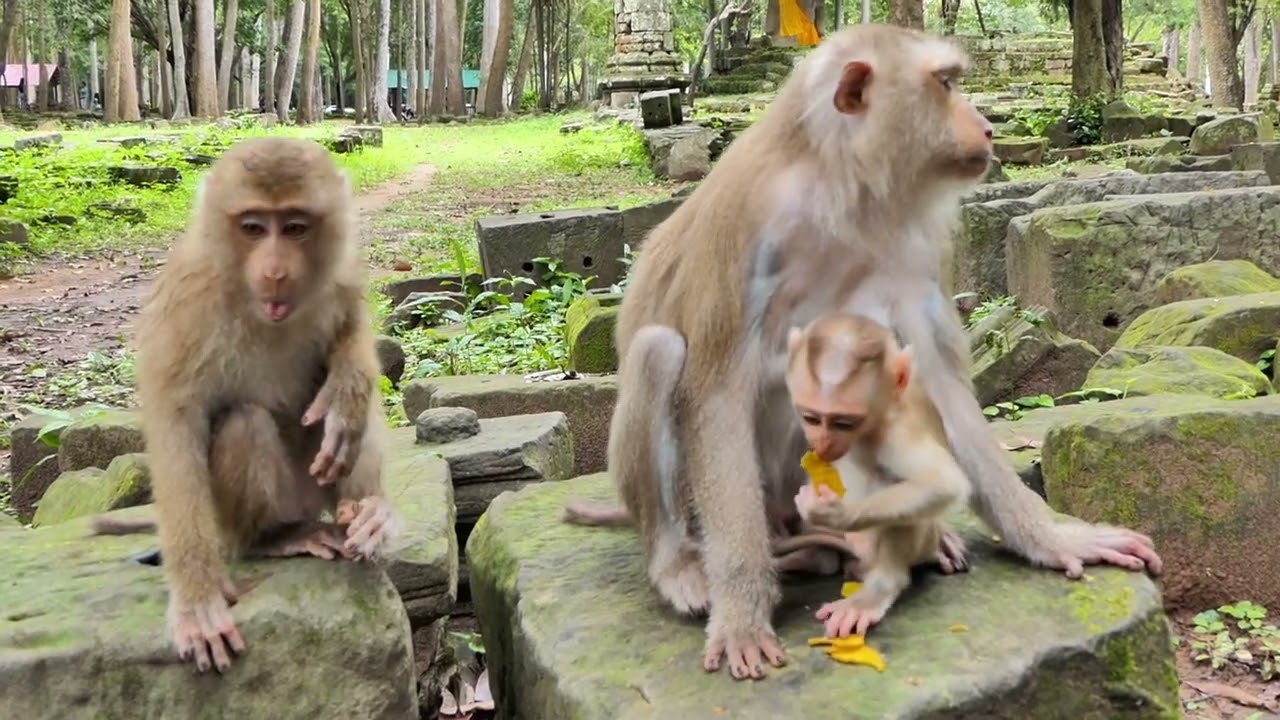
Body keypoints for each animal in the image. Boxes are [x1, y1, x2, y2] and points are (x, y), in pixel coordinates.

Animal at [124, 136, 401, 674]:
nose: (274, 273)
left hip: (320, 492)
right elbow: (176, 427)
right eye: (253, 228)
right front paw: (197, 601)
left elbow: (351, 330)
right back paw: (273, 538)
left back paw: (371, 514)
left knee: (350, 426)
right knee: (245, 423)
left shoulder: (340, 272)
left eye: (294, 227)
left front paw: (348, 387)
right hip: (245, 517)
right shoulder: (186, 304)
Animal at [785, 312, 969, 638]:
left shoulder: (898, 432)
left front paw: (837, 513)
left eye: (844, 423)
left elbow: (941, 483)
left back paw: (880, 587)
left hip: (924, 541)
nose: (823, 443)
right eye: (811, 418)